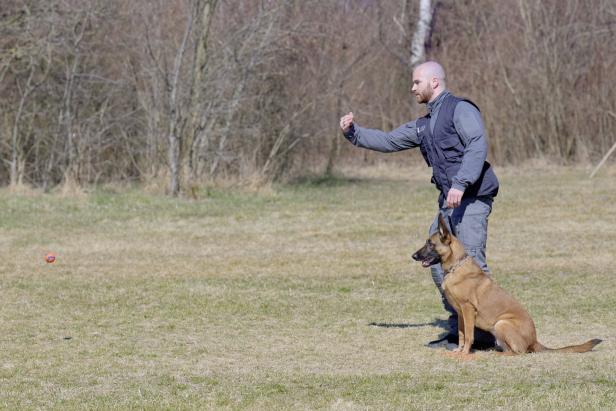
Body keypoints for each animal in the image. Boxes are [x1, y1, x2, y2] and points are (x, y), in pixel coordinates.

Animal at [412, 214, 604, 356]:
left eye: (430, 244)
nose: (413, 256)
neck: (455, 267)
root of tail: (534, 341)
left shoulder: (467, 310)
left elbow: (469, 336)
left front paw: (465, 353)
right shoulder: (460, 313)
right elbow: (461, 334)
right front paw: (458, 351)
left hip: (501, 323)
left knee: (517, 352)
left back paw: (496, 354)